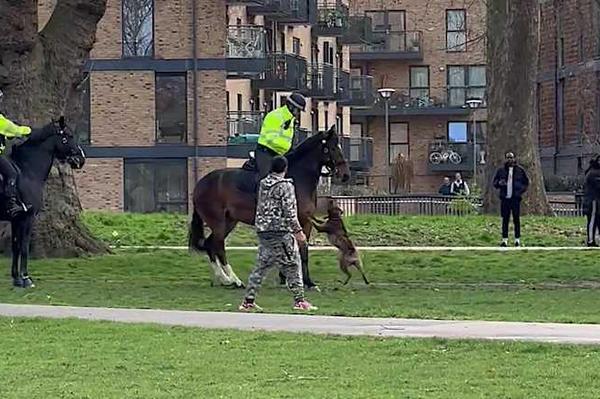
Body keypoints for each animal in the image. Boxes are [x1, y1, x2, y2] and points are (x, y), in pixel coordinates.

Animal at [2, 117, 85, 290]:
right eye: (68, 136)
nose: (81, 159)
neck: (27, 171)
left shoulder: (16, 219)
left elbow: (15, 247)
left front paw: (16, 278)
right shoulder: (27, 217)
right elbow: (24, 247)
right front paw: (25, 278)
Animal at [189, 126, 352, 290]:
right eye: (332, 147)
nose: (345, 175)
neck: (298, 178)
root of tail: (200, 184)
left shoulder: (303, 223)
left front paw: (287, 278)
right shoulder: (301, 221)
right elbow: (302, 250)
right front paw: (307, 282)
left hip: (229, 221)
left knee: (210, 245)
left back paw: (225, 279)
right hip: (218, 222)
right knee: (218, 246)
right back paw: (234, 280)